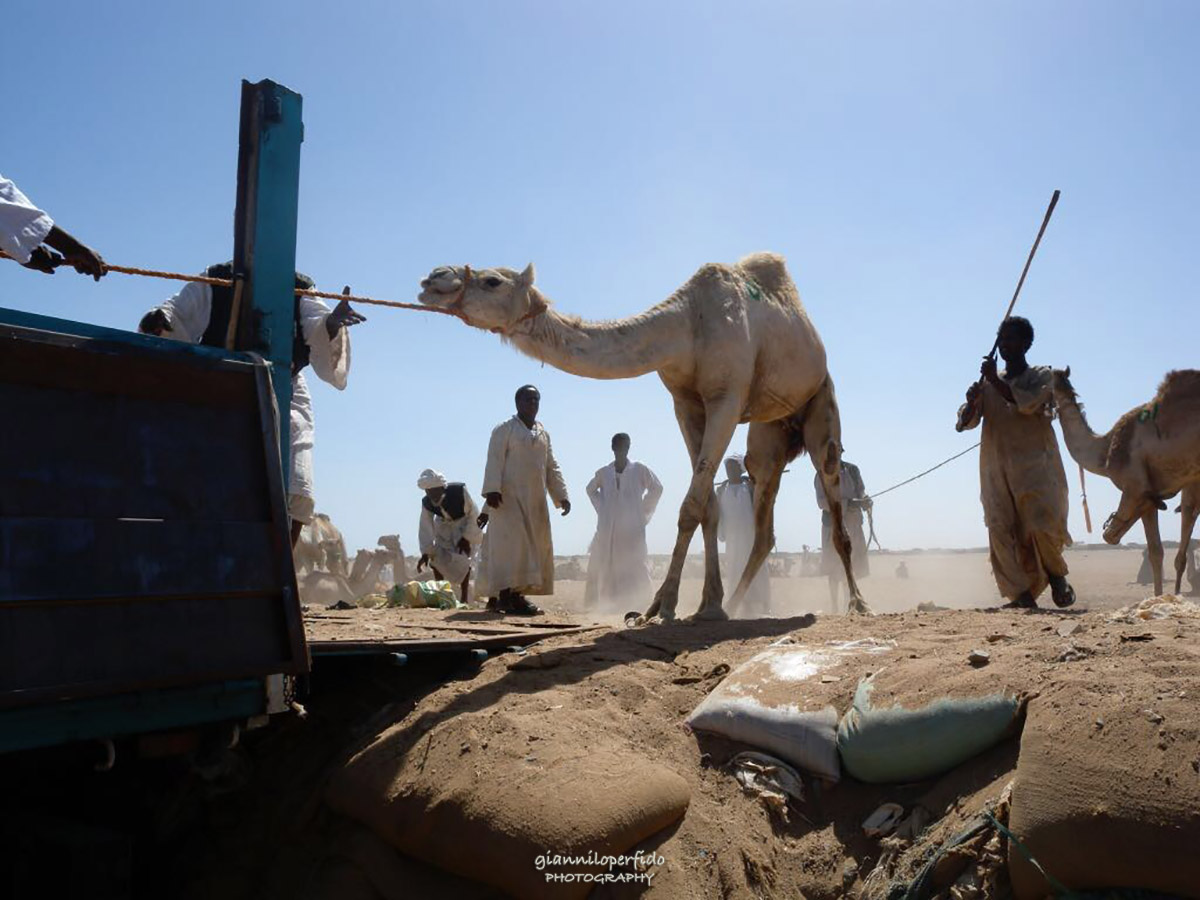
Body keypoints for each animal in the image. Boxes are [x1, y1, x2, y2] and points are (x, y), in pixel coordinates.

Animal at [417, 253, 868, 621]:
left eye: (492, 280)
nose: (432, 278)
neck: (686, 324)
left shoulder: (727, 397)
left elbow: (689, 506)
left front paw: (661, 605)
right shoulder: (686, 402)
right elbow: (708, 507)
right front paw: (709, 605)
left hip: (819, 401)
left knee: (833, 496)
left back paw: (858, 603)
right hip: (769, 433)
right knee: (764, 513)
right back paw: (740, 603)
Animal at [1051, 368, 1200, 595]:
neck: (1105, 449)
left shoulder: (1135, 489)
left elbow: (1114, 537)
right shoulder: (1154, 494)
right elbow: (1158, 552)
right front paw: (1165, 597)